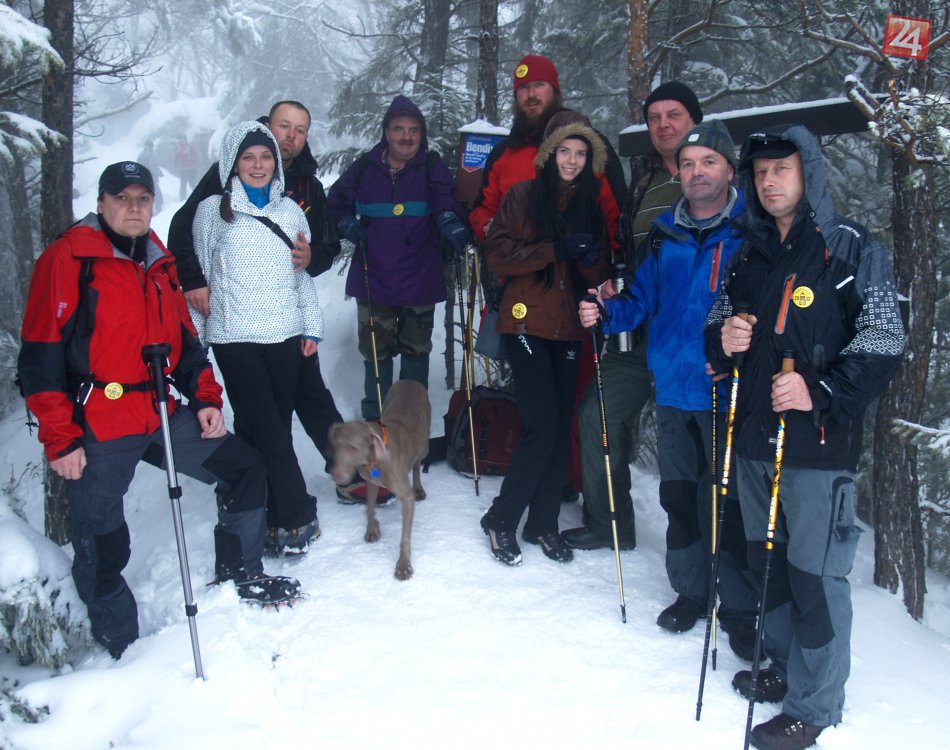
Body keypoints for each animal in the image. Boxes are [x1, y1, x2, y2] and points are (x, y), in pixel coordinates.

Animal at [329, 380, 431, 580]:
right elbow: (369, 507)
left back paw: (419, 488)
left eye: (352, 448)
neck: (374, 459)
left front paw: (403, 565)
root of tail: (410, 380)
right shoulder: (371, 481)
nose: (335, 474)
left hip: (424, 445)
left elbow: (404, 537)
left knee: (416, 465)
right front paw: (372, 529)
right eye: (335, 446)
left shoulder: (406, 497)